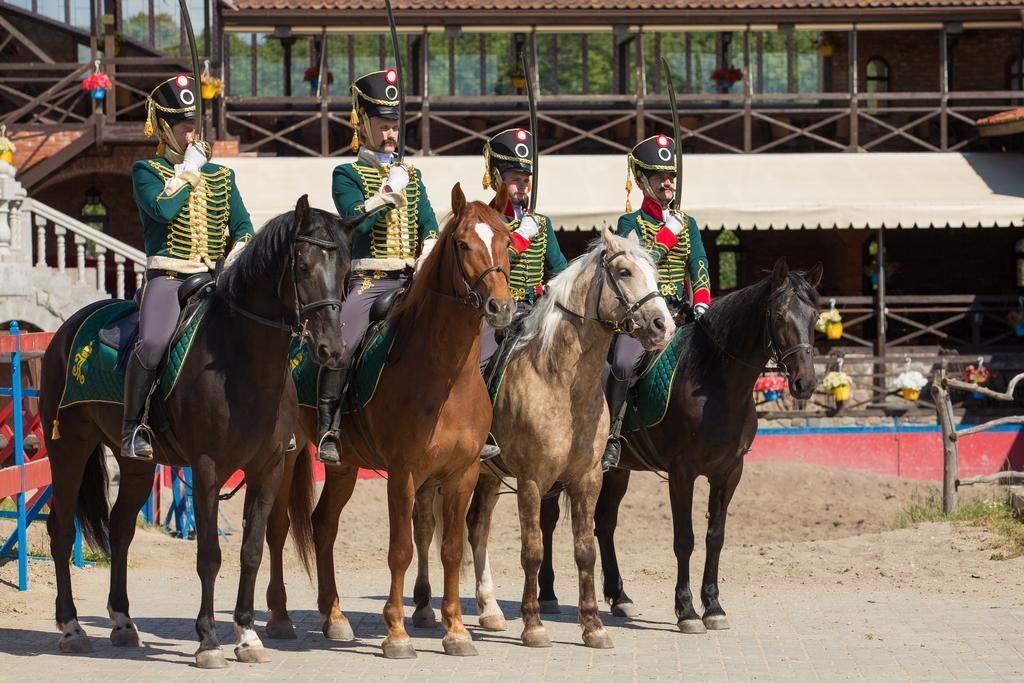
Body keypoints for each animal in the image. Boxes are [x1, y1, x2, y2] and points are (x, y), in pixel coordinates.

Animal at [38, 196, 360, 667]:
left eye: (347, 270)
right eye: (302, 266)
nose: (332, 350)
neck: (240, 362)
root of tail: (68, 326)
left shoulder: (268, 469)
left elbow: (251, 550)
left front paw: (247, 635)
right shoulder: (207, 468)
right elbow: (209, 554)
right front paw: (208, 640)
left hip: (135, 462)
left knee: (120, 528)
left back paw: (123, 622)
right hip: (68, 448)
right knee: (61, 528)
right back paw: (71, 626)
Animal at [264, 181, 516, 655]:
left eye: (506, 242)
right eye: (462, 244)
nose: (501, 308)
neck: (446, 374)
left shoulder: (463, 473)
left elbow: (451, 548)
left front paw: (456, 630)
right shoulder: (403, 473)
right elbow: (400, 548)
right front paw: (397, 632)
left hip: (344, 465)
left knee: (323, 526)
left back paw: (334, 617)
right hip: (285, 458)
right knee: (277, 526)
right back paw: (280, 616)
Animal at [411, 227, 675, 651]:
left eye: (654, 271)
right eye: (623, 271)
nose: (661, 326)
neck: (561, 381)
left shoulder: (587, 478)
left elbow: (585, 551)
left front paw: (593, 626)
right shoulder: (532, 481)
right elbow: (532, 550)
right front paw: (533, 624)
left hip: (486, 476)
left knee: (476, 529)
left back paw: (490, 610)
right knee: (423, 528)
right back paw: (422, 607)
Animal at [540, 259, 819, 634]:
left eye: (815, 315)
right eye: (777, 315)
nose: (806, 383)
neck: (715, 382)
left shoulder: (729, 472)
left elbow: (715, 536)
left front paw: (713, 606)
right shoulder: (682, 472)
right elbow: (684, 538)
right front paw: (686, 610)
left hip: (617, 470)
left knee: (605, 522)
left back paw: (619, 596)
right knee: (548, 520)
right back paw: (547, 593)